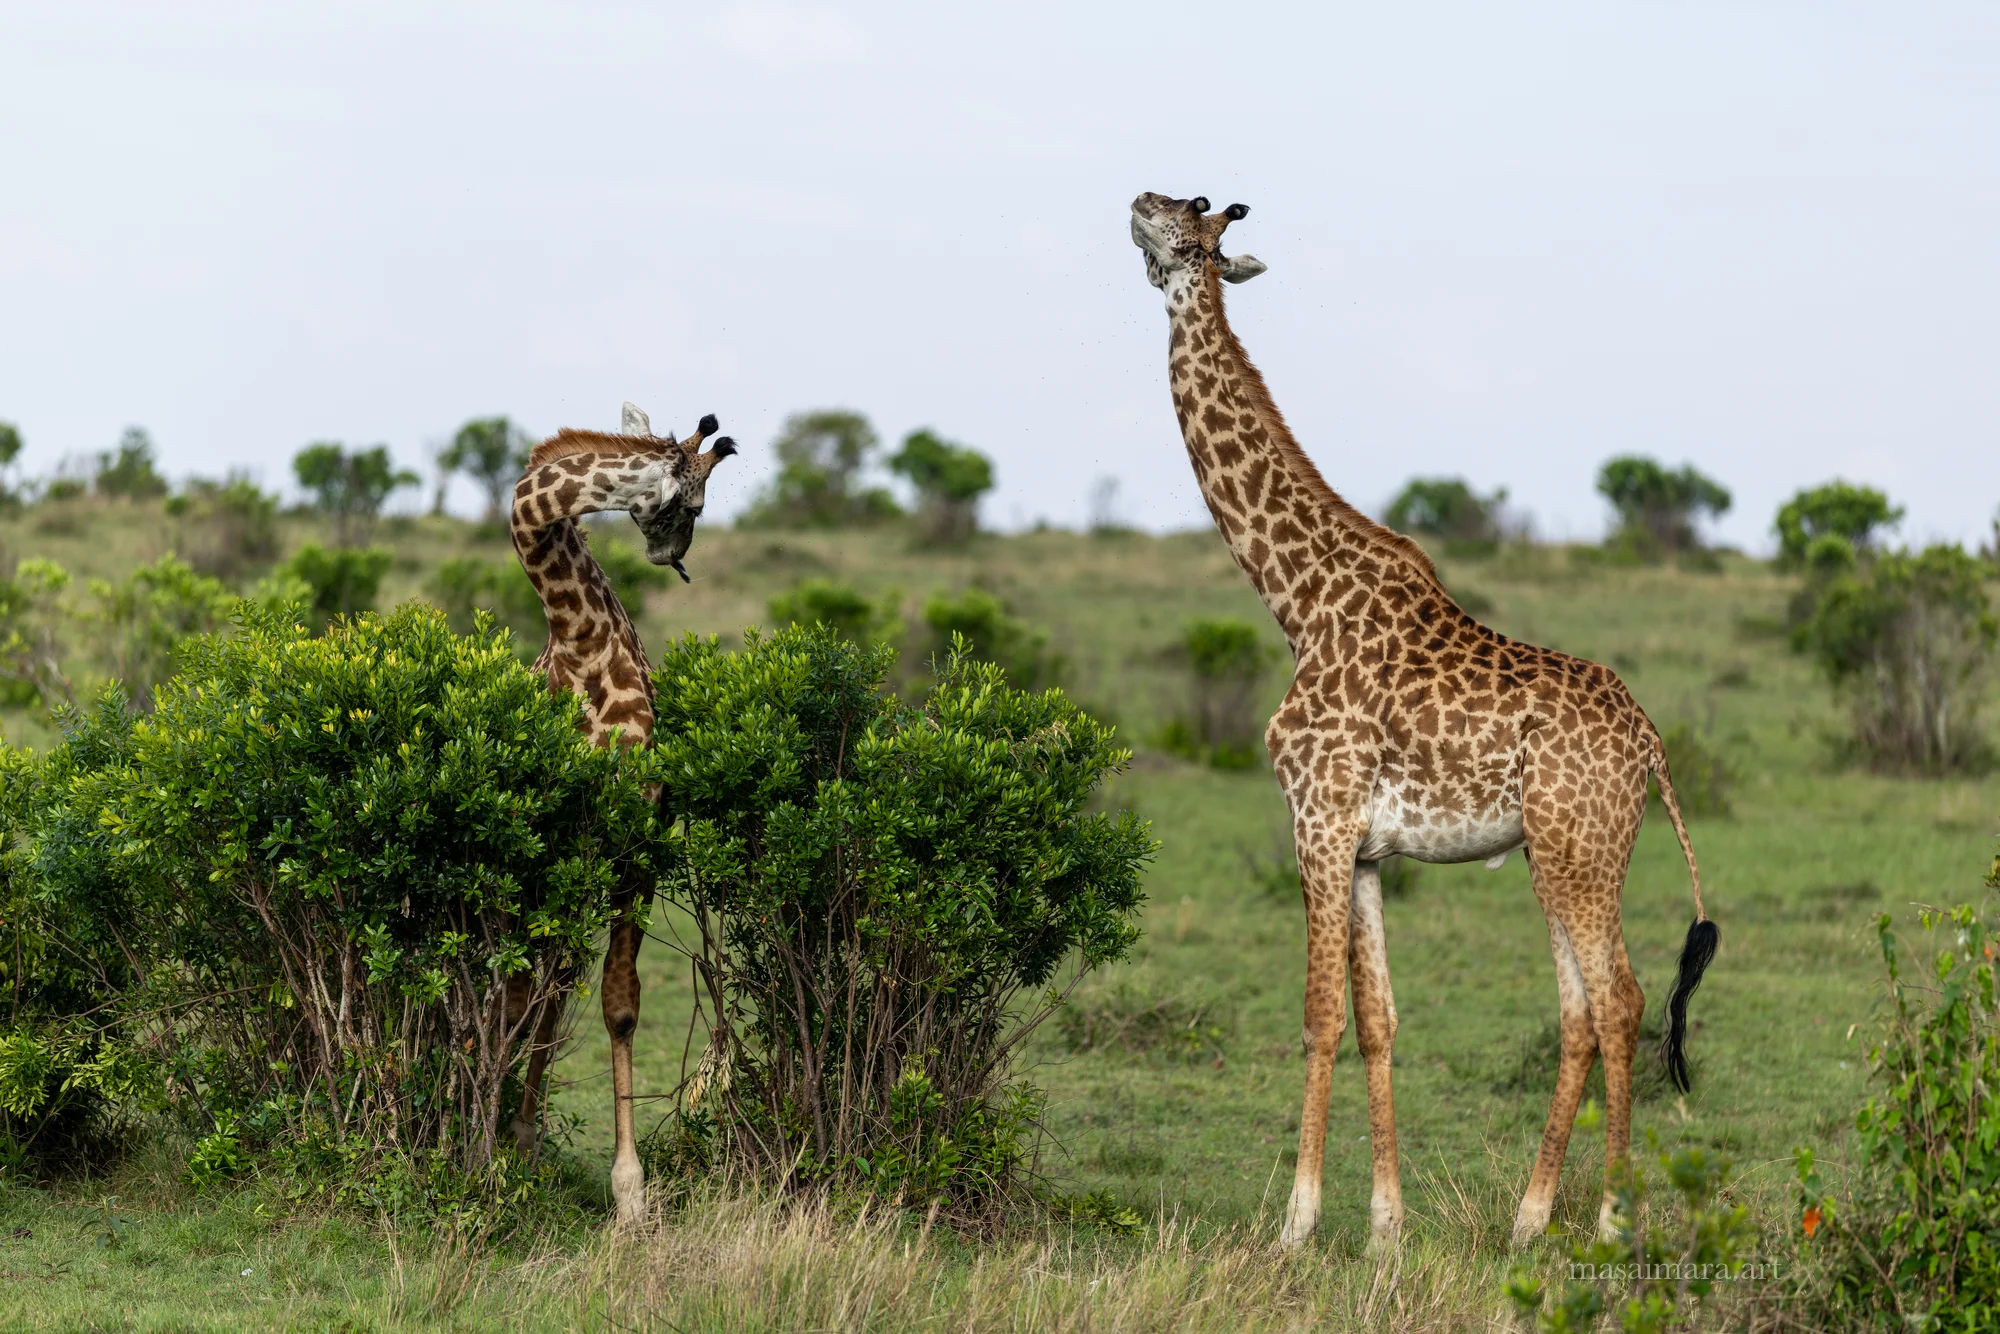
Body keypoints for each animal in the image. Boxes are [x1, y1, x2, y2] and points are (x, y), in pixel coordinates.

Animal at [506, 400, 736, 1227]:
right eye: (691, 504)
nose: (678, 557)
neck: (581, 642)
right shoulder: (550, 834)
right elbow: (537, 987)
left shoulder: (638, 837)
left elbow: (620, 1005)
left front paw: (630, 1192)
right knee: (540, 981)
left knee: (560, 979)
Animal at [1128, 192, 1719, 1253]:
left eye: (1190, 219)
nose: (1133, 206)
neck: (1294, 602)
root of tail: (1652, 746)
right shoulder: (1364, 847)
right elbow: (1379, 1021)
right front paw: (1385, 1228)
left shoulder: (1317, 820)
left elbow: (1319, 1013)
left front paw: (1296, 1223)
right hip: (1559, 854)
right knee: (1581, 1010)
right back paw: (1529, 1218)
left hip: (1577, 851)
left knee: (1620, 999)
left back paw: (1610, 1218)